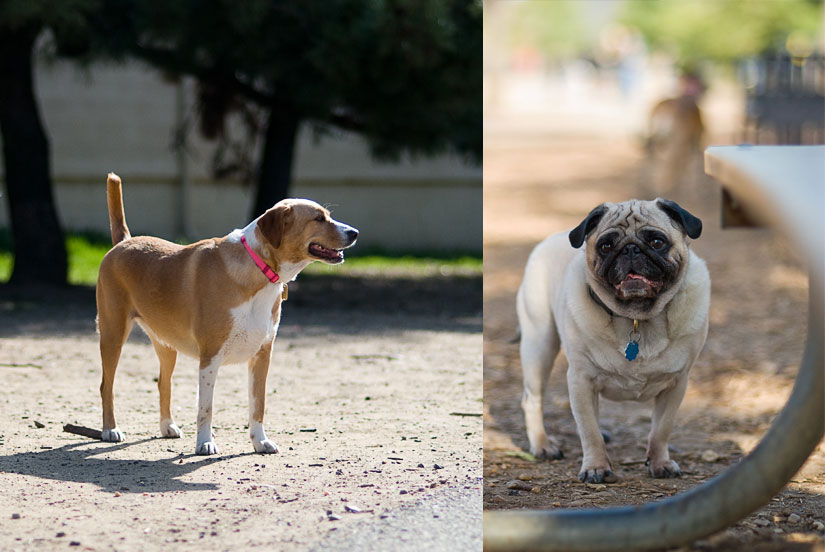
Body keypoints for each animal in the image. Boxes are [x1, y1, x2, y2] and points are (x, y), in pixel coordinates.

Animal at [96, 172, 358, 452]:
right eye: (318, 218)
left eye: (327, 215)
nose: (354, 232)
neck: (259, 269)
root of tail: (124, 242)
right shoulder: (210, 357)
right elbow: (206, 409)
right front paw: (205, 443)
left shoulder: (262, 355)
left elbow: (258, 405)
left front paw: (260, 441)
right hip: (112, 336)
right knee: (106, 386)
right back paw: (110, 429)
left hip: (166, 346)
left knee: (163, 384)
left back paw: (167, 426)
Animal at [516, 199, 708, 484]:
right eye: (606, 246)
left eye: (657, 242)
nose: (630, 249)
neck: (637, 318)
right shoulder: (581, 379)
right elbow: (589, 432)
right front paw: (595, 467)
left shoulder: (677, 383)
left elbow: (660, 430)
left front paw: (660, 463)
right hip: (539, 344)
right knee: (533, 399)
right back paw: (542, 445)